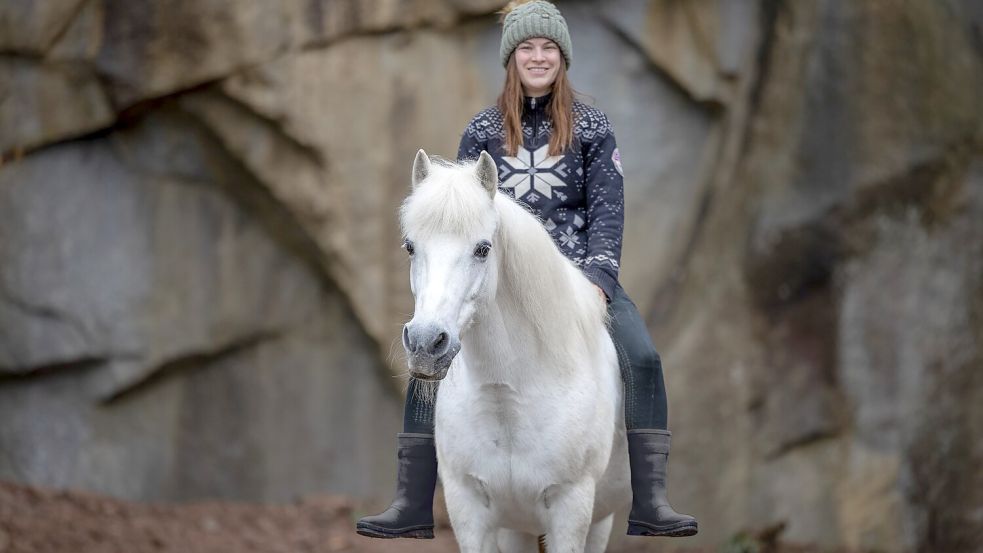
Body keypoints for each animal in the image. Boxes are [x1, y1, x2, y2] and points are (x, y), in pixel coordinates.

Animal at [399, 149, 630, 552]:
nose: (426, 344)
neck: (508, 400)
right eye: (411, 246)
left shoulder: (571, 511)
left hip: (600, 520)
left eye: (483, 249)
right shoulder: (468, 511)